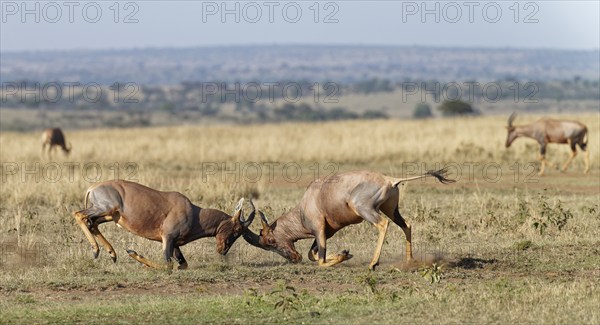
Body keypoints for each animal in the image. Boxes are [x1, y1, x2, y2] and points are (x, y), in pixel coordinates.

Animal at [73, 180, 255, 268]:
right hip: (105, 209)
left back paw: (112, 253)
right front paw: (133, 254)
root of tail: (93, 187)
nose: (223, 250)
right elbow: (168, 265)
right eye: (237, 229)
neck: (193, 211)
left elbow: (183, 265)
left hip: (110, 215)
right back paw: (96, 251)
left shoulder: (175, 244)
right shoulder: (168, 238)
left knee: (92, 223)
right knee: (79, 215)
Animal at [241, 168, 452, 270]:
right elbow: (313, 254)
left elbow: (319, 260)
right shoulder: (327, 232)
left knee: (383, 224)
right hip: (391, 209)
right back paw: (409, 261)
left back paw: (373, 264)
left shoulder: (319, 230)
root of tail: (390, 179)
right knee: (406, 225)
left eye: (270, 240)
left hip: (365, 209)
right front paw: (345, 253)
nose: (294, 258)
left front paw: (343, 255)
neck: (308, 200)